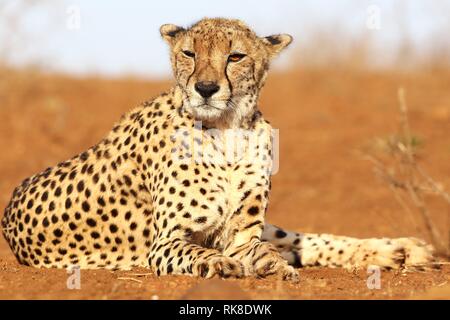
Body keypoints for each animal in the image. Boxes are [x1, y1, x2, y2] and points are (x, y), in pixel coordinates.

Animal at [0, 18, 436, 280]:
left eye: (236, 56)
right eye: (189, 53)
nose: (206, 88)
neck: (228, 132)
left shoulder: (242, 234)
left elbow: (266, 250)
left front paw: (273, 268)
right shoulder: (166, 242)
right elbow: (199, 254)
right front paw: (222, 267)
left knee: (306, 239)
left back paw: (401, 250)